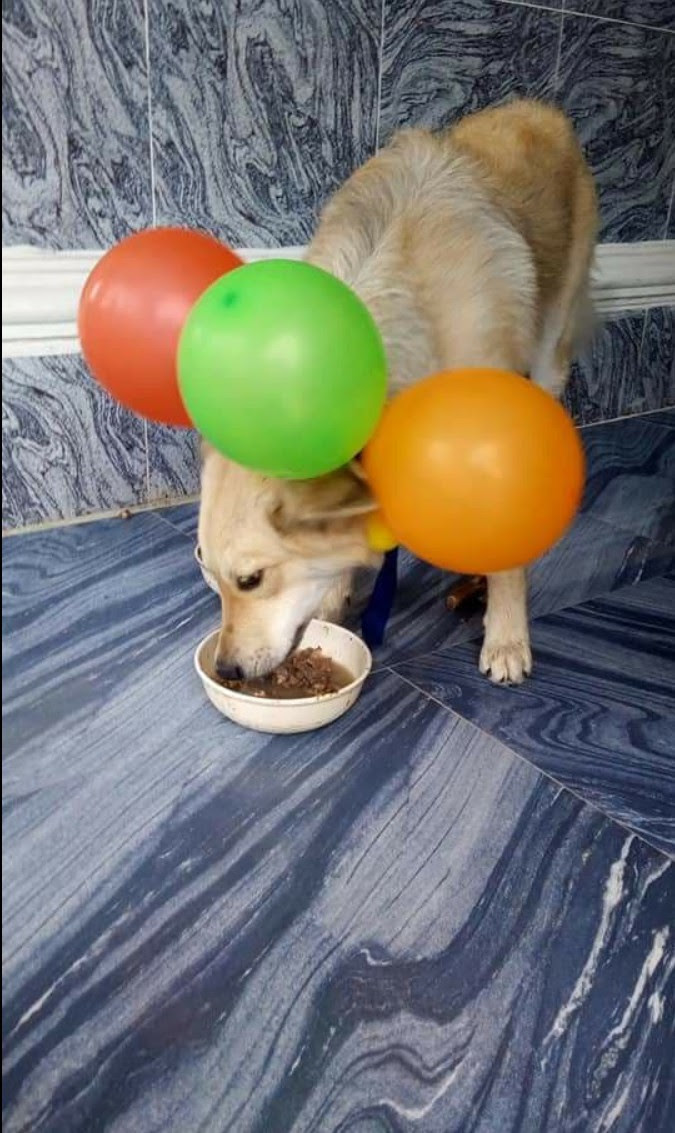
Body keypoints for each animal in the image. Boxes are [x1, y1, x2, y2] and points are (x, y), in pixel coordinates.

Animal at [199, 99, 597, 685]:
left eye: (251, 580)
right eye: (211, 576)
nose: (226, 669)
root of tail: (539, 109)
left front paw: (505, 636)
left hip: (551, 354)